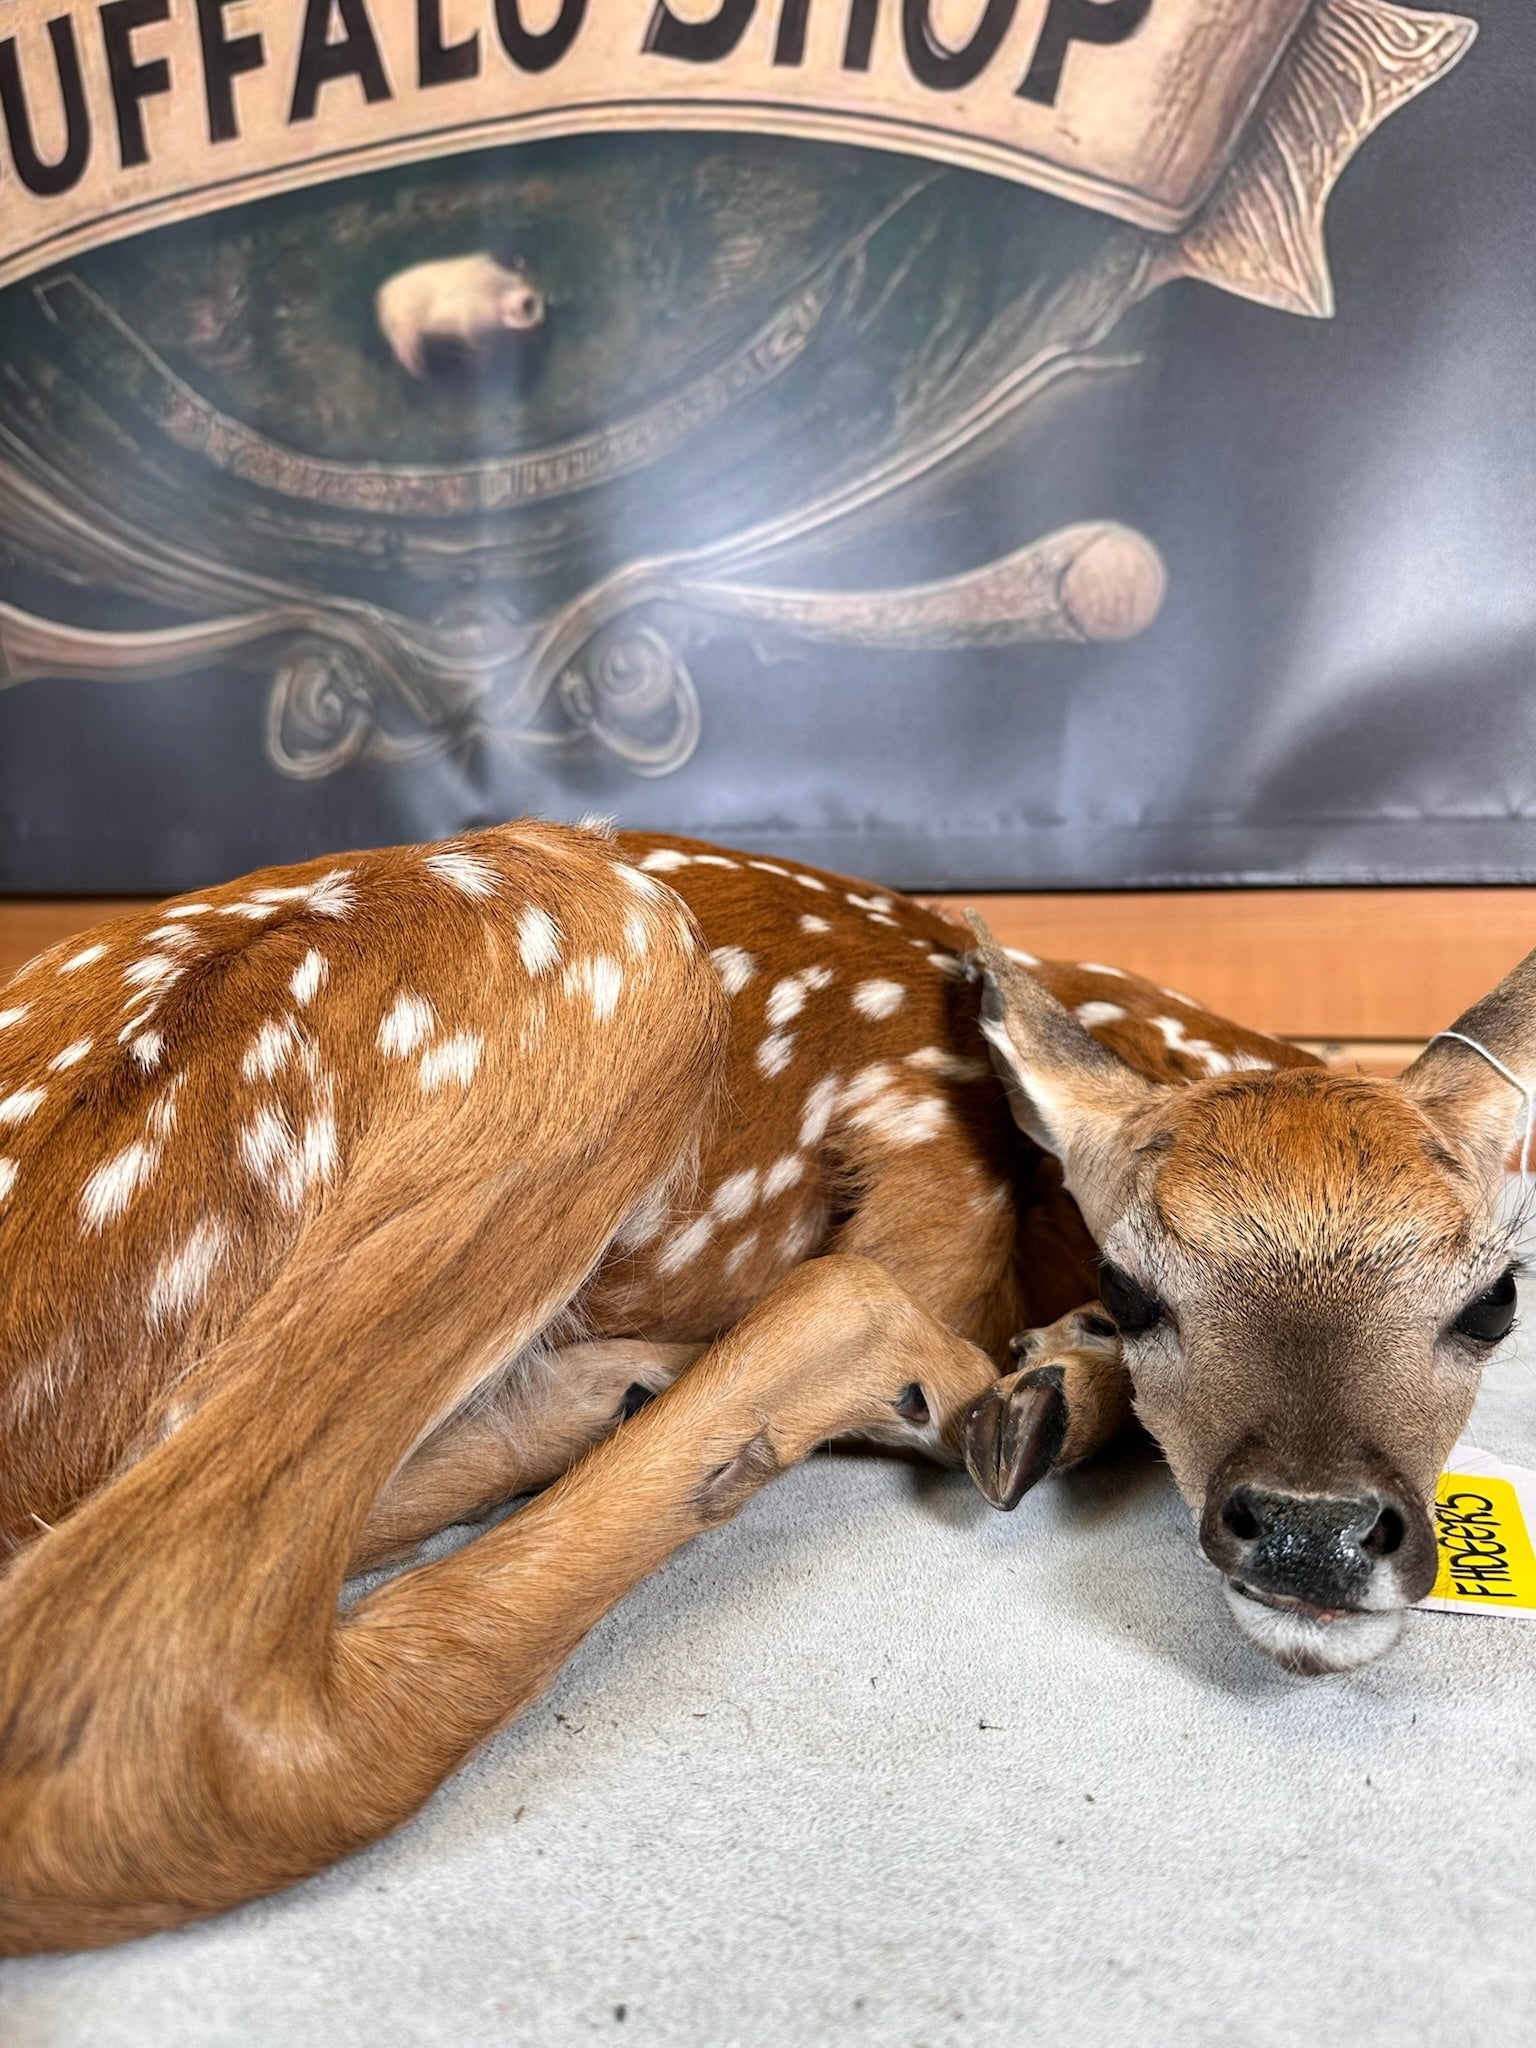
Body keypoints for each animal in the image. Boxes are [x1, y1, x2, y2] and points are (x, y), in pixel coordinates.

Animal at [0, 818, 1526, 1955]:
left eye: (1496, 1300)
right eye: (1141, 1279)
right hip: (599, 946)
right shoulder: (929, 1167)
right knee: (156, 1696)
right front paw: (1040, 1380)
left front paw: (1053, 1379)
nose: (1315, 1528)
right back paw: (935, 1388)